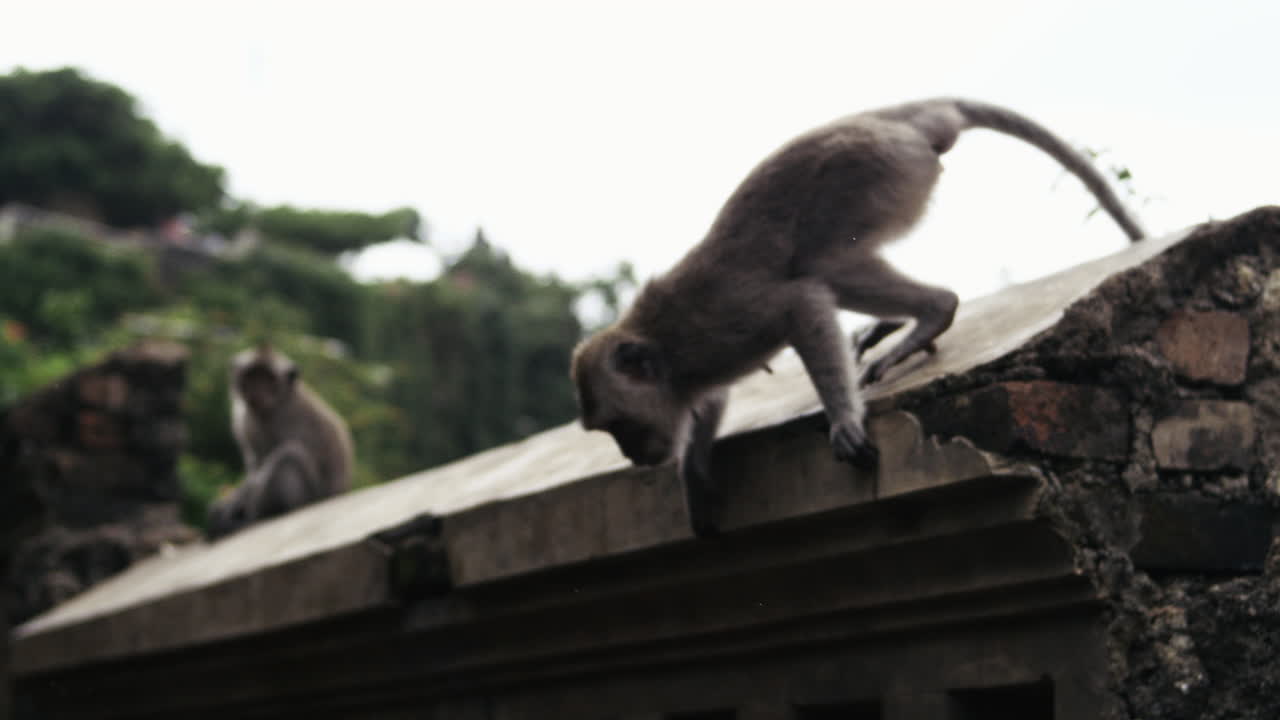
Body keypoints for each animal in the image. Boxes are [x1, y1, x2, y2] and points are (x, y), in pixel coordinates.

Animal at [206, 344, 354, 539]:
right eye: (251, 376)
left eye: (268, 379)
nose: (256, 391)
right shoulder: (246, 421)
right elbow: (255, 465)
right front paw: (227, 506)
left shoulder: (285, 420)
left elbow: (263, 470)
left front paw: (231, 508)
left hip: (310, 498)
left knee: (289, 456)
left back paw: (255, 518)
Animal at [571, 98, 1144, 536]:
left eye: (618, 425)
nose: (633, 455)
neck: (665, 350)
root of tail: (895, 119)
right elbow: (712, 400)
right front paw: (693, 474)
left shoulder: (722, 325)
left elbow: (802, 302)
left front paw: (844, 419)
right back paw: (894, 325)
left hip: (878, 169)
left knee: (825, 264)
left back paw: (933, 311)